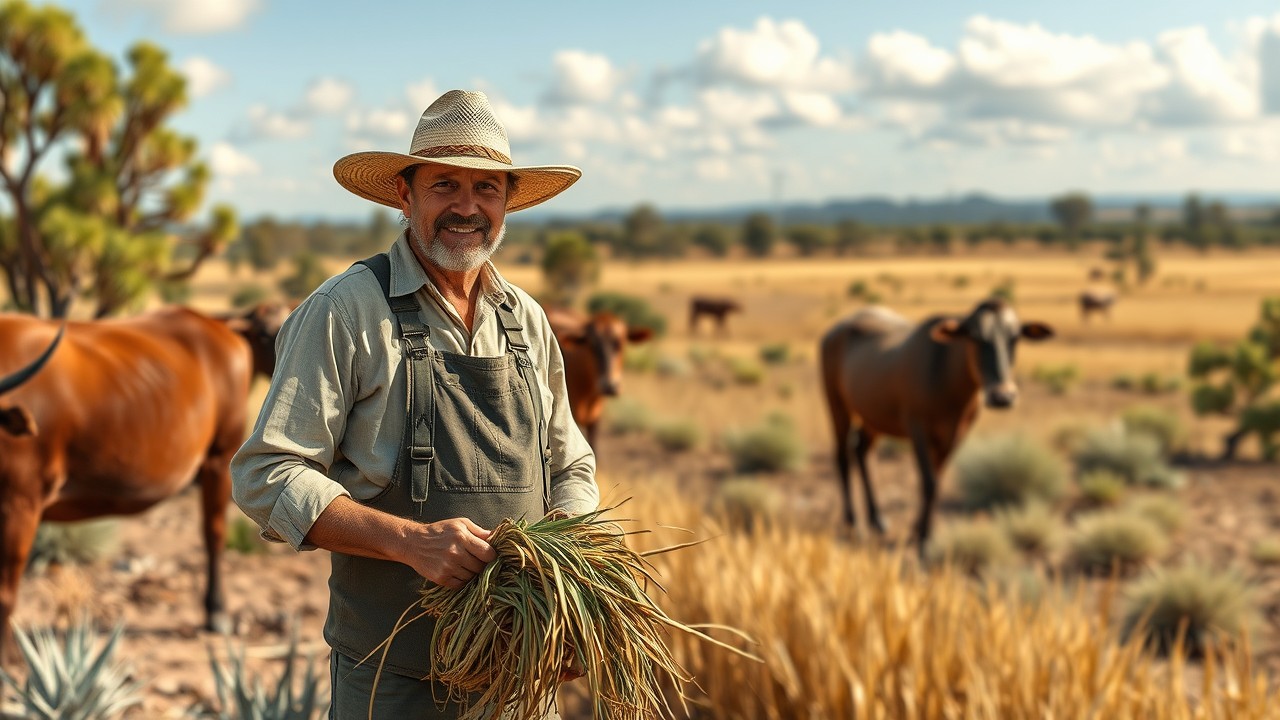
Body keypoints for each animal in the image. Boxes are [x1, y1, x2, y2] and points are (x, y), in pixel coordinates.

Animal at [0, 304, 252, 648]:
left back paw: (217, 612)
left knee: (214, 532)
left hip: (221, 456)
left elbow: (5, 597)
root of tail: (211, 323)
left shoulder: (20, 503)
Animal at [819, 297, 1049, 548]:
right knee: (842, 456)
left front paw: (917, 530)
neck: (947, 377)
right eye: (976, 337)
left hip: (872, 416)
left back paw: (877, 519)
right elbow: (929, 482)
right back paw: (853, 523)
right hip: (837, 404)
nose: (1002, 396)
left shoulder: (956, 434)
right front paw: (924, 539)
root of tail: (835, 330)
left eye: (1014, 338)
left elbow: (938, 480)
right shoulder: (918, 428)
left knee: (861, 451)